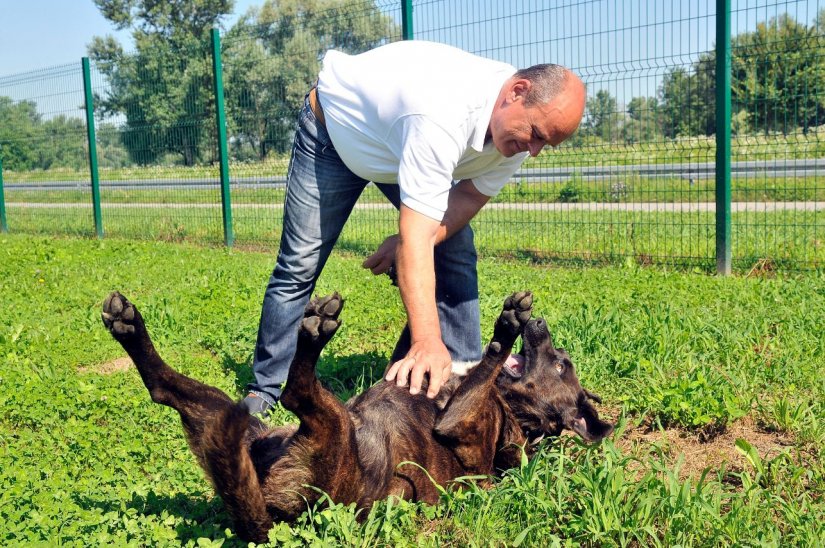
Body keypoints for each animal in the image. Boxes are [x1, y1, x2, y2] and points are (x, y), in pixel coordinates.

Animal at [101, 292, 612, 544]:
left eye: (561, 365)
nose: (540, 323)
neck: (515, 415)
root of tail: (271, 517)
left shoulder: (464, 422)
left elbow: (487, 363)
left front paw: (506, 325)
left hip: (331, 428)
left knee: (299, 392)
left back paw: (314, 332)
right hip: (220, 413)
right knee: (162, 386)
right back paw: (128, 325)